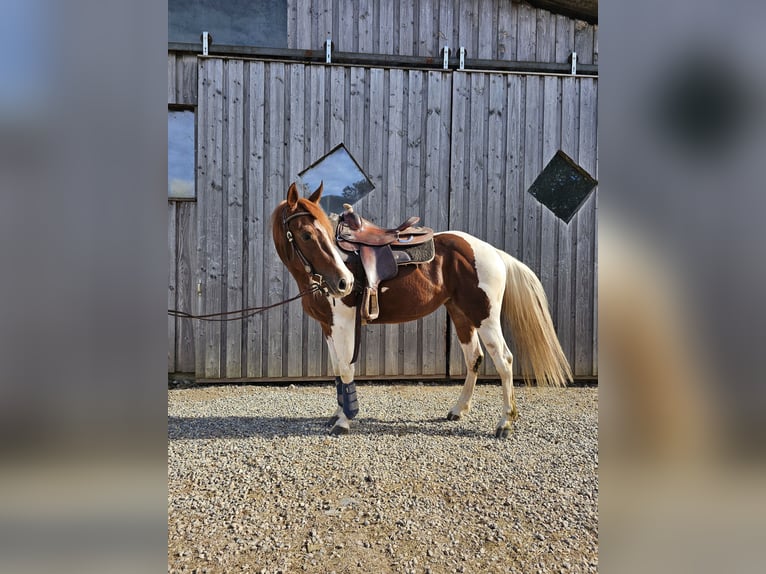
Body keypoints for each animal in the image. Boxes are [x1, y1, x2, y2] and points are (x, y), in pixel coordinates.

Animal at [272, 182, 572, 438]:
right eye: (307, 234)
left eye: (322, 231)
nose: (343, 283)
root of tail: (493, 252)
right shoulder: (328, 326)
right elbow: (337, 371)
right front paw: (337, 414)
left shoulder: (344, 324)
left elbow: (346, 370)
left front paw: (344, 421)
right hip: (462, 315)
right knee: (474, 358)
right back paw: (458, 410)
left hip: (484, 317)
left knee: (504, 360)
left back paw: (505, 423)